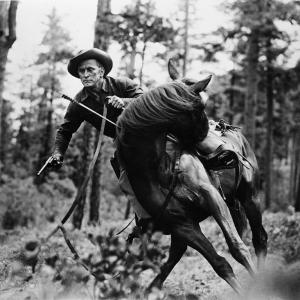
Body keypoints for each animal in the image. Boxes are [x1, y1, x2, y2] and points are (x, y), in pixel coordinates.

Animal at [115, 67, 268, 292]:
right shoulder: (182, 225)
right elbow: (219, 263)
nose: (207, 132)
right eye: (200, 108)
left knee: (259, 239)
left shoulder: (212, 198)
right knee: (172, 258)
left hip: (250, 197)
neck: (162, 167)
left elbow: (237, 247)